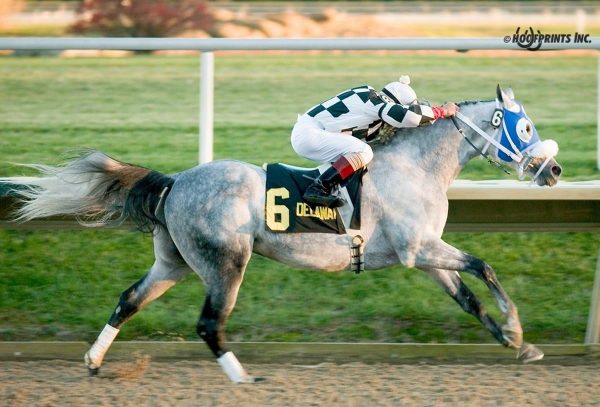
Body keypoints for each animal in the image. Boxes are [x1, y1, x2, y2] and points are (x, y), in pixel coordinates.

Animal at [1, 86, 564, 382]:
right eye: (525, 127)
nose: (554, 171)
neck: (416, 166)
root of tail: (176, 180)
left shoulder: (423, 255)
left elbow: (469, 297)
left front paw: (517, 344)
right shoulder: (420, 248)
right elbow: (484, 266)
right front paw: (518, 330)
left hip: (175, 262)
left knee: (128, 299)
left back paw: (95, 360)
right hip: (226, 262)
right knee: (209, 323)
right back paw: (243, 378)